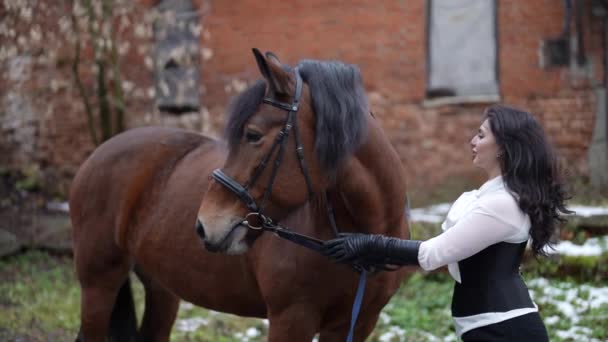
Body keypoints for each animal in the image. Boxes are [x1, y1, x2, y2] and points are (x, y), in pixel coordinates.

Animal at [71, 48, 414, 342]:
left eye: (252, 135)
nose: (204, 226)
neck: (358, 237)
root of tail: (99, 152)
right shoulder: (291, 319)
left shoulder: (356, 323)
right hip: (99, 282)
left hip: (161, 286)